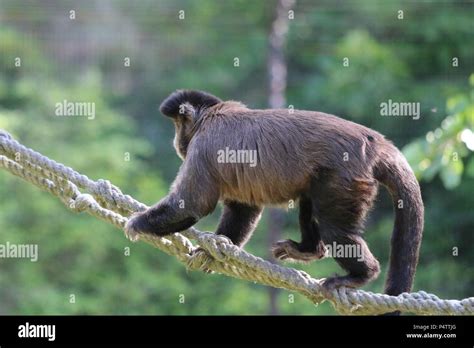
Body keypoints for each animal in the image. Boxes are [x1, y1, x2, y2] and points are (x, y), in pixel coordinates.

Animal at [125, 89, 422, 304]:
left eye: (177, 126)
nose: (175, 142)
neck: (210, 116)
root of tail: (375, 142)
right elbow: (242, 209)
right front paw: (213, 250)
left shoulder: (204, 144)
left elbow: (192, 205)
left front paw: (137, 223)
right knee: (309, 200)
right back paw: (309, 250)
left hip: (345, 176)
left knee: (334, 228)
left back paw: (361, 275)